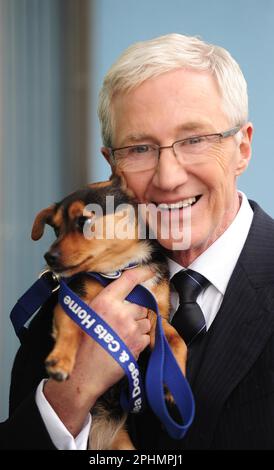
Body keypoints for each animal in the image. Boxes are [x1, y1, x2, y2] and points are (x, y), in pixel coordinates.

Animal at [31, 175, 187, 448]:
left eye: (83, 221)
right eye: (56, 229)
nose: (49, 257)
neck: (120, 270)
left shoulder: (157, 316)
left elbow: (176, 340)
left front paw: (174, 379)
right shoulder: (74, 301)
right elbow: (71, 328)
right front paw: (60, 360)